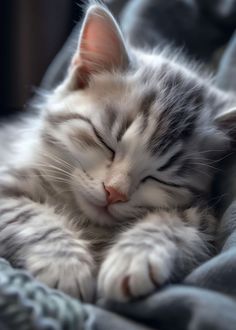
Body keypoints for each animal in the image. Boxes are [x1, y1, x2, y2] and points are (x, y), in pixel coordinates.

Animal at [0, 1, 236, 302]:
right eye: (105, 141)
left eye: (162, 178)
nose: (114, 193)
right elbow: (29, 215)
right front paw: (65, 264)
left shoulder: (203, 216)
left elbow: (176, 223)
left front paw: (136, 256)